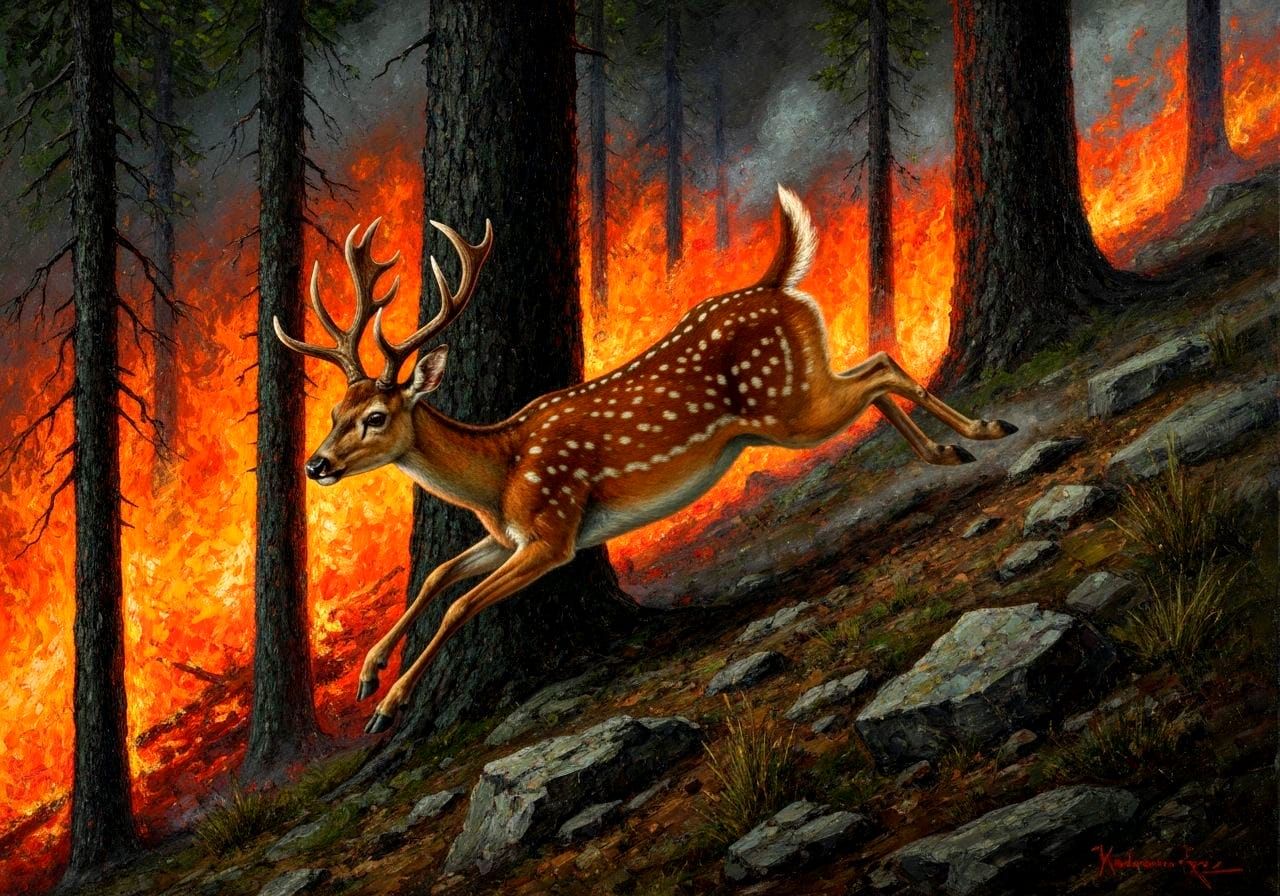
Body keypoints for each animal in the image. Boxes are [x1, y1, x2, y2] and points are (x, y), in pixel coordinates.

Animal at [274, 186, 1017, 734]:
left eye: (375, 417)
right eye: (335, 414)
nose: (316, 466)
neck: (500, 473)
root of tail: (778, 282)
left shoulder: (552, 532)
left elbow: (461, 604)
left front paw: (389, 704)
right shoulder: (509, 536)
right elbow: (437, 575)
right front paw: (370, 672)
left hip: (788, 407)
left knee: (883, 367)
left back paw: (984, 427)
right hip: (801, 390)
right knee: (873, 371)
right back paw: (947, 448)